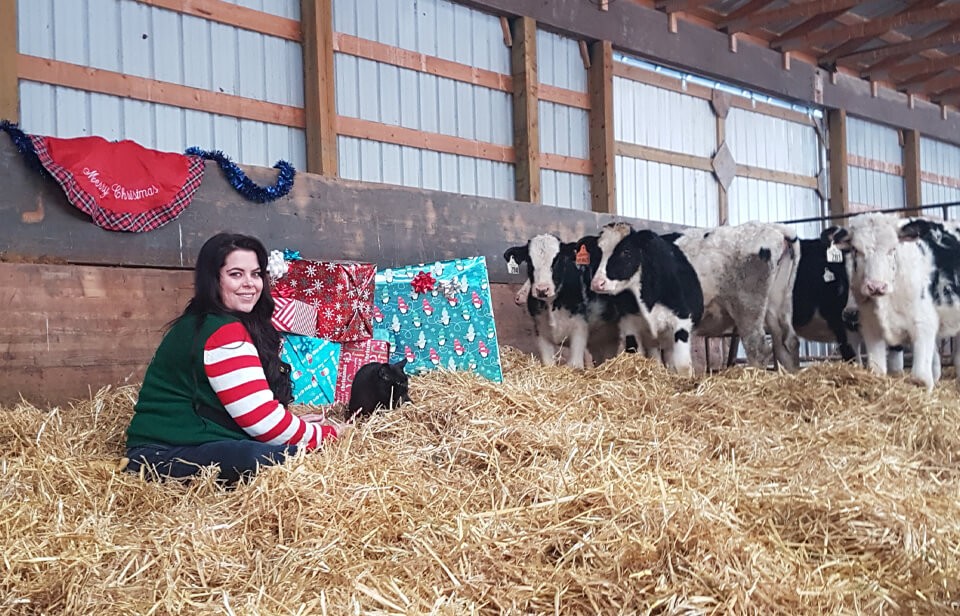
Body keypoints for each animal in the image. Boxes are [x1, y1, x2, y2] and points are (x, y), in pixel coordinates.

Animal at [506, 233, 628, 368]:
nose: (542, 289)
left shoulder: (579, 330)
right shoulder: (541, 332)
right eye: (529, 261)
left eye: (557, 260)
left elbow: (576, 365)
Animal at [580, 221, 700, 376]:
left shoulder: (682, 319)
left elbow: (683, 365)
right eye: (596, 254)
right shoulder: (629, 323)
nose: (597, 283)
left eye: (626, 252)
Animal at [832, 213, 960, 390]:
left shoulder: (924, 324)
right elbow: (877, 370)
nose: (876, 286)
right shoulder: (871, 328)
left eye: (892, 249)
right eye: (856, 250)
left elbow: (921, 377)